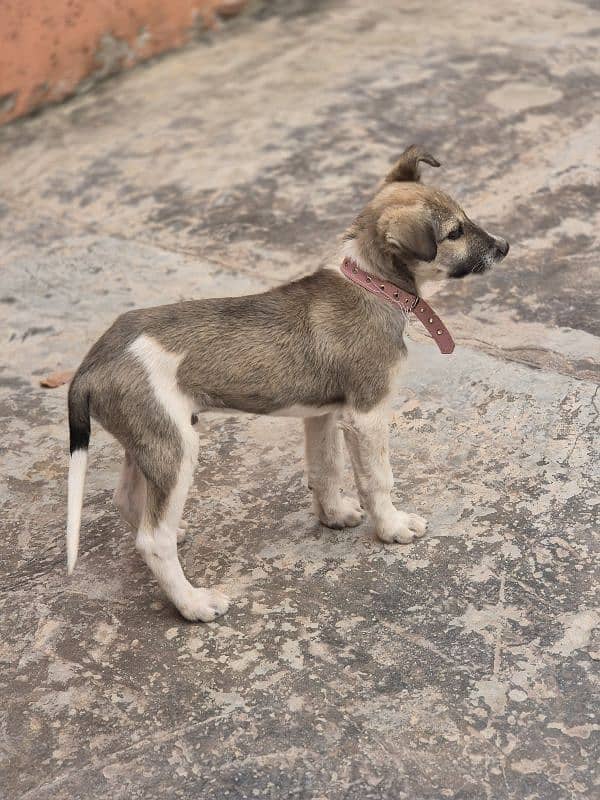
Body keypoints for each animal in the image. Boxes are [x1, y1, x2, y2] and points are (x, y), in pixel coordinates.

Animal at [68, 147, 508, 620]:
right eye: (455, 232)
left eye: (465, 217)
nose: (504, 247)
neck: (371, 283)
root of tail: (91, 363)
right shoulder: (367, 414)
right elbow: (377, 479)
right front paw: (392, 527)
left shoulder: (325, 414)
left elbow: (325, 469)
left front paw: (333, 516)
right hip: (175, 446)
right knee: (153, 539)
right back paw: (194, 603)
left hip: (149, 442)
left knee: (128, 501)